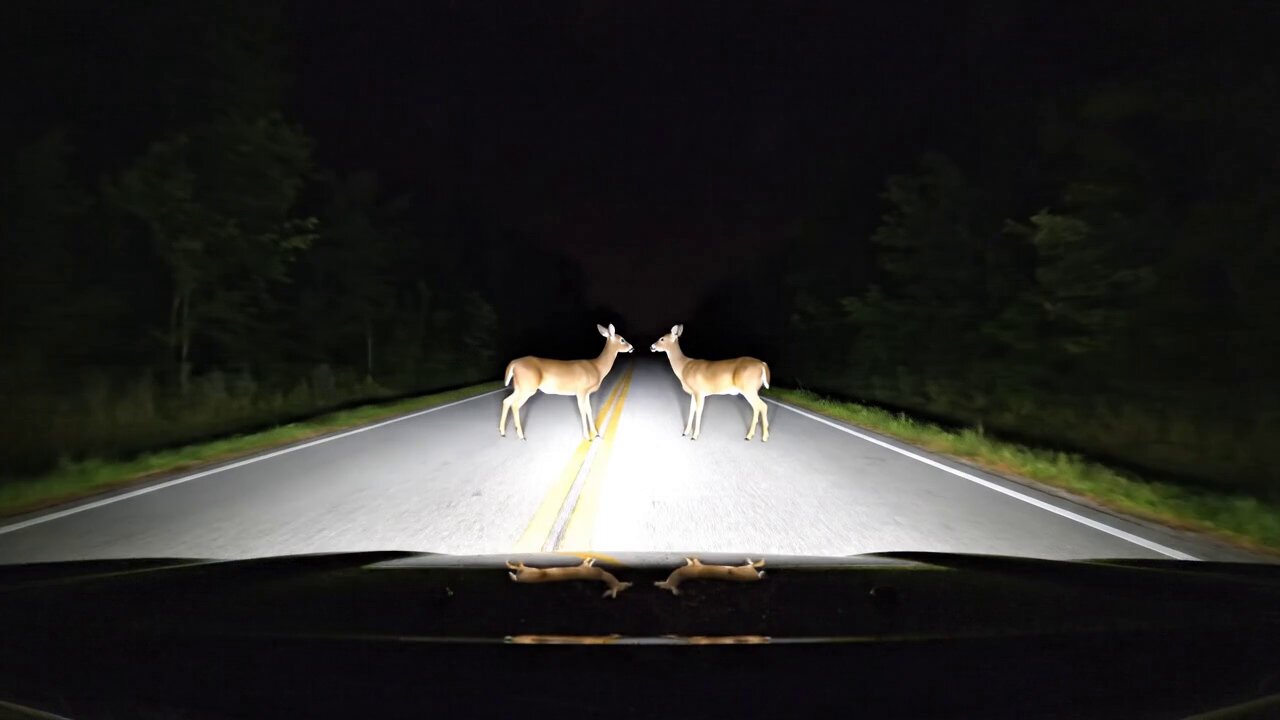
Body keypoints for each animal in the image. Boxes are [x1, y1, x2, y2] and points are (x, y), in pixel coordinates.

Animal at [499, 323, 633, 441]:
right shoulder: (581, 390)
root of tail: (514, 363)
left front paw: (596, 433)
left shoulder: (587, 393)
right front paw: (587, 437)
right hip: (528, 387)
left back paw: (503, 432)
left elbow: (589, 410)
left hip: (520, 387)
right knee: (514, 405)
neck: (597, 368)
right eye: (622, 339)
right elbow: (582, 411)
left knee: (506, 401)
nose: (632, 347)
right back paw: (521, 436)